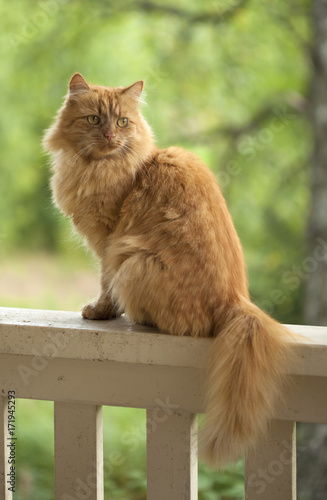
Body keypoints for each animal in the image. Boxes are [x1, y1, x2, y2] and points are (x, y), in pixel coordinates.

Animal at [44, 72, 300, 466]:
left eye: (122, 122)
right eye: (94, 120)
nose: (110, 137)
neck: (97, 166)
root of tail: (237, 301)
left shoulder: (109, 242)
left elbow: (105, 284)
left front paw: (101, 312)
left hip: (134, 262)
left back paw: (140, 318)